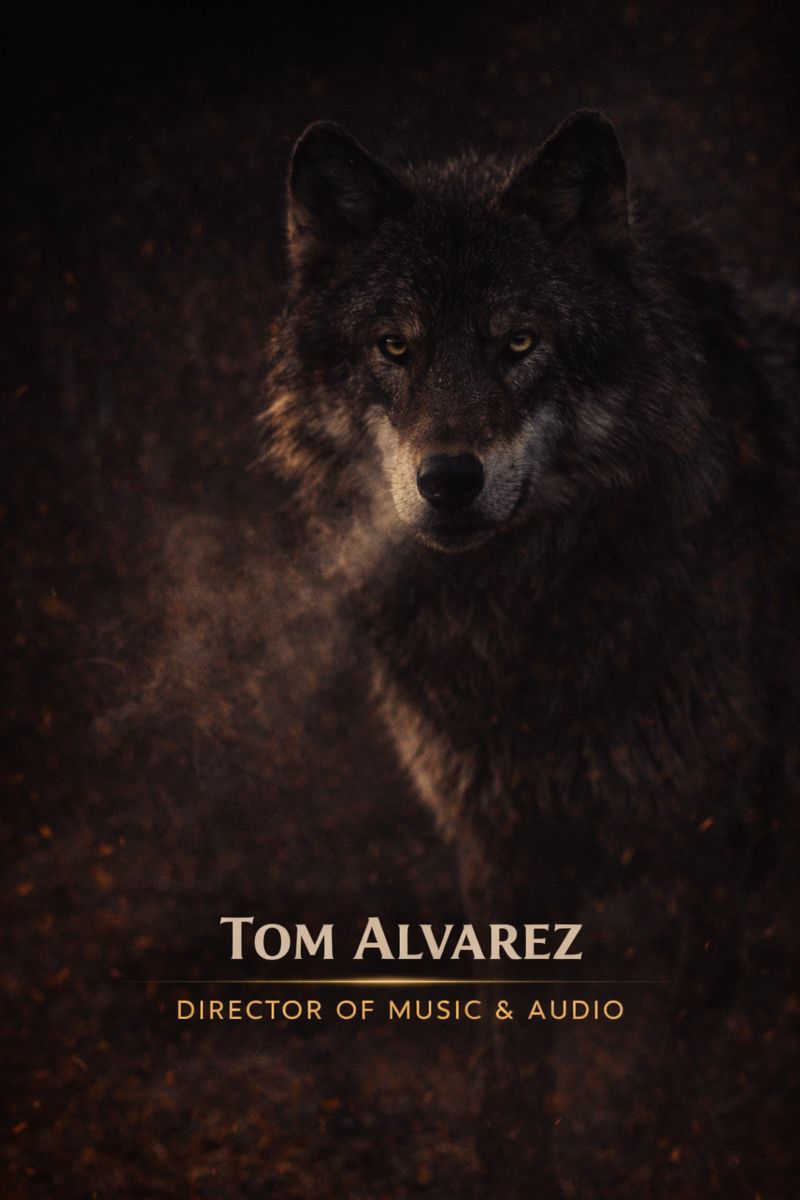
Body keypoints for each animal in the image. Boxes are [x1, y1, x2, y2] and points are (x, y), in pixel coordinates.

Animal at [261, 112, 798, 1196]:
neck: (530, 635)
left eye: (518, 343)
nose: (449, 479)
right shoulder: (498, 843)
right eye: (395, 346)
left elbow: (677, 1074)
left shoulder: (720, 841)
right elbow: (509, 1081)